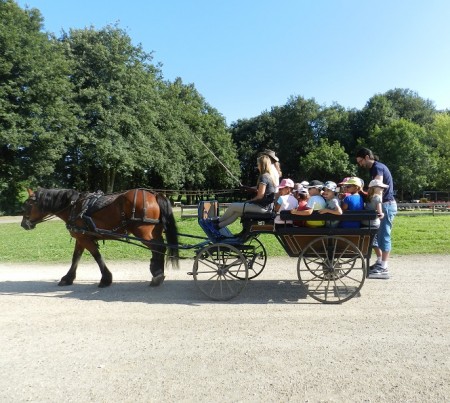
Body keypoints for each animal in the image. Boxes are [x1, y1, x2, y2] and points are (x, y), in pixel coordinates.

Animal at [21, 189, 179, 288]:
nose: (23, 224)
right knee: (160, 248)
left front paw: (106, 279)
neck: (74, 207)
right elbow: (75, 258)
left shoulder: (85, 239)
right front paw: (68, 278)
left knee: (159, 248)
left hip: (143, 233)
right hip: (153, 232)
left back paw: (157, 275)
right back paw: (158, 272)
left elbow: (97, 257)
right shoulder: (81, 238)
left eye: (28, 205)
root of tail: (155, 194)